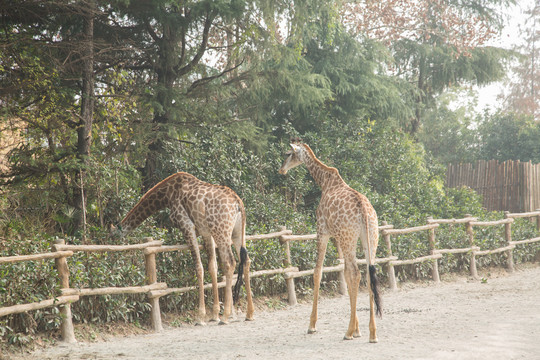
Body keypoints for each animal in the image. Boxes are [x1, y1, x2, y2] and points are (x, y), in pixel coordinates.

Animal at [112, 170, 255, 324]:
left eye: (113, 237)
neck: (167, 195)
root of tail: (238, 203)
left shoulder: (187, 226)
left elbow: (199, 267)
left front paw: (201, 316)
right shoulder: (206, 232)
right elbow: (212, 267)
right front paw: (215, 314)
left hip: (221, 231)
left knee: (230, 262)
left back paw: (226, 316)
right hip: (237, 233)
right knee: (246, 260)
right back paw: (249, 313)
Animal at [280, 141, 382, 344]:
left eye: (288, 153)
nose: (282, 170)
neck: (325, 182)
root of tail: (364, 211)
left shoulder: (323, 231)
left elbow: (317, 272)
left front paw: (312, 325)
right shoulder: (338, 237)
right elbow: (344, 273)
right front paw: (358, 330)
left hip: (349, 237)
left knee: (356, 273)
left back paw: (348, 332)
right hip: (369, 237)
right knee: (368, 274)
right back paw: (372, 334)